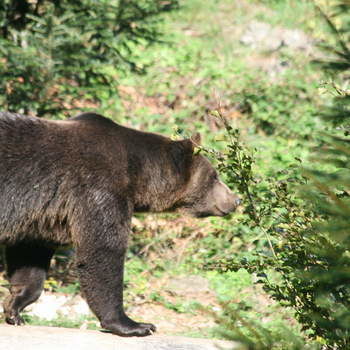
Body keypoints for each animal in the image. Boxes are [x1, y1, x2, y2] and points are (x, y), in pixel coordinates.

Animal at [0, 112, 241, 336]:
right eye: (215, 176)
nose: (236, 199)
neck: (137, 174)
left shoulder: (41, 214)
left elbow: (30, 255)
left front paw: (15, 308)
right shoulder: (99, 189)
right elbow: (103, 250)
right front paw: (135, 324)